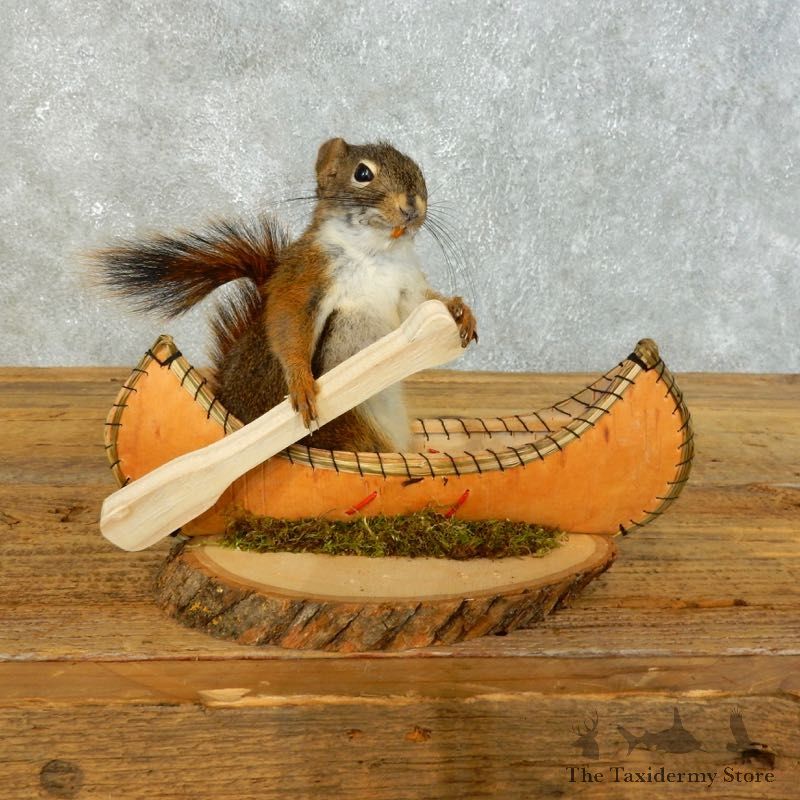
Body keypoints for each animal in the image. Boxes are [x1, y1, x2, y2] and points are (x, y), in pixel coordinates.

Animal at [93, 137, 477, 452]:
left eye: (417, 169)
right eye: (363, 173)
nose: (413, 207)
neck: (377, 252)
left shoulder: (406, 286)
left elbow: (422, 305)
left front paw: (459, 309)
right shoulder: (305, 277)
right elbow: (287, 323)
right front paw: (302, 383)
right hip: (352, 421)